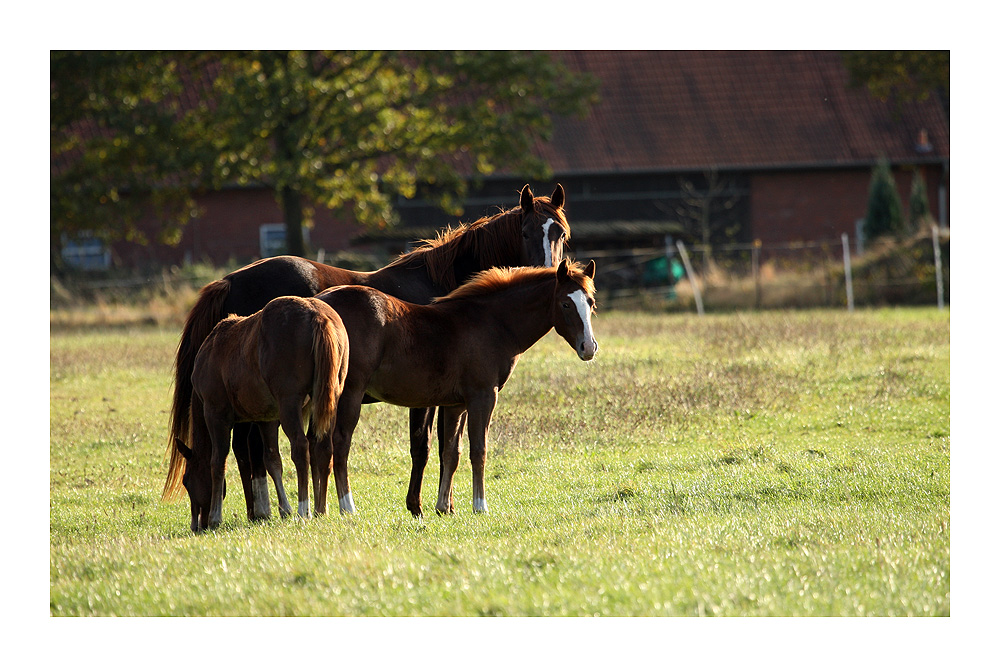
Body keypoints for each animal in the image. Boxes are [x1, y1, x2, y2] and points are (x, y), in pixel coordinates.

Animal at [176, 298, 352, 532]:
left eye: (186, 481)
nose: (196, 525)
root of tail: (318, 316)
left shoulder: (215, 414)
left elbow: (217, 461)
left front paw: (215, 517)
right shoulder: (266, 419)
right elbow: (272, 460)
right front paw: (284, 509)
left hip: (289, 403)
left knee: (300, 447)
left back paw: (303, 510)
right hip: (329, 398)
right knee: (323, 447)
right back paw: (319, 509)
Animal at [314, 260, 592, 516]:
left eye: (590, 302)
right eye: (566, 304)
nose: (588, 347)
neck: (492, 323)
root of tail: (321, 304)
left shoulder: (456, 404)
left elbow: (451, 451)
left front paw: (443, 507)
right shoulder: (483, 396)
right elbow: (479, 450)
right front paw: (480, 506)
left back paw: (318, 510)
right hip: (349, 394)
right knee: (340, 443)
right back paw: (347, 507)